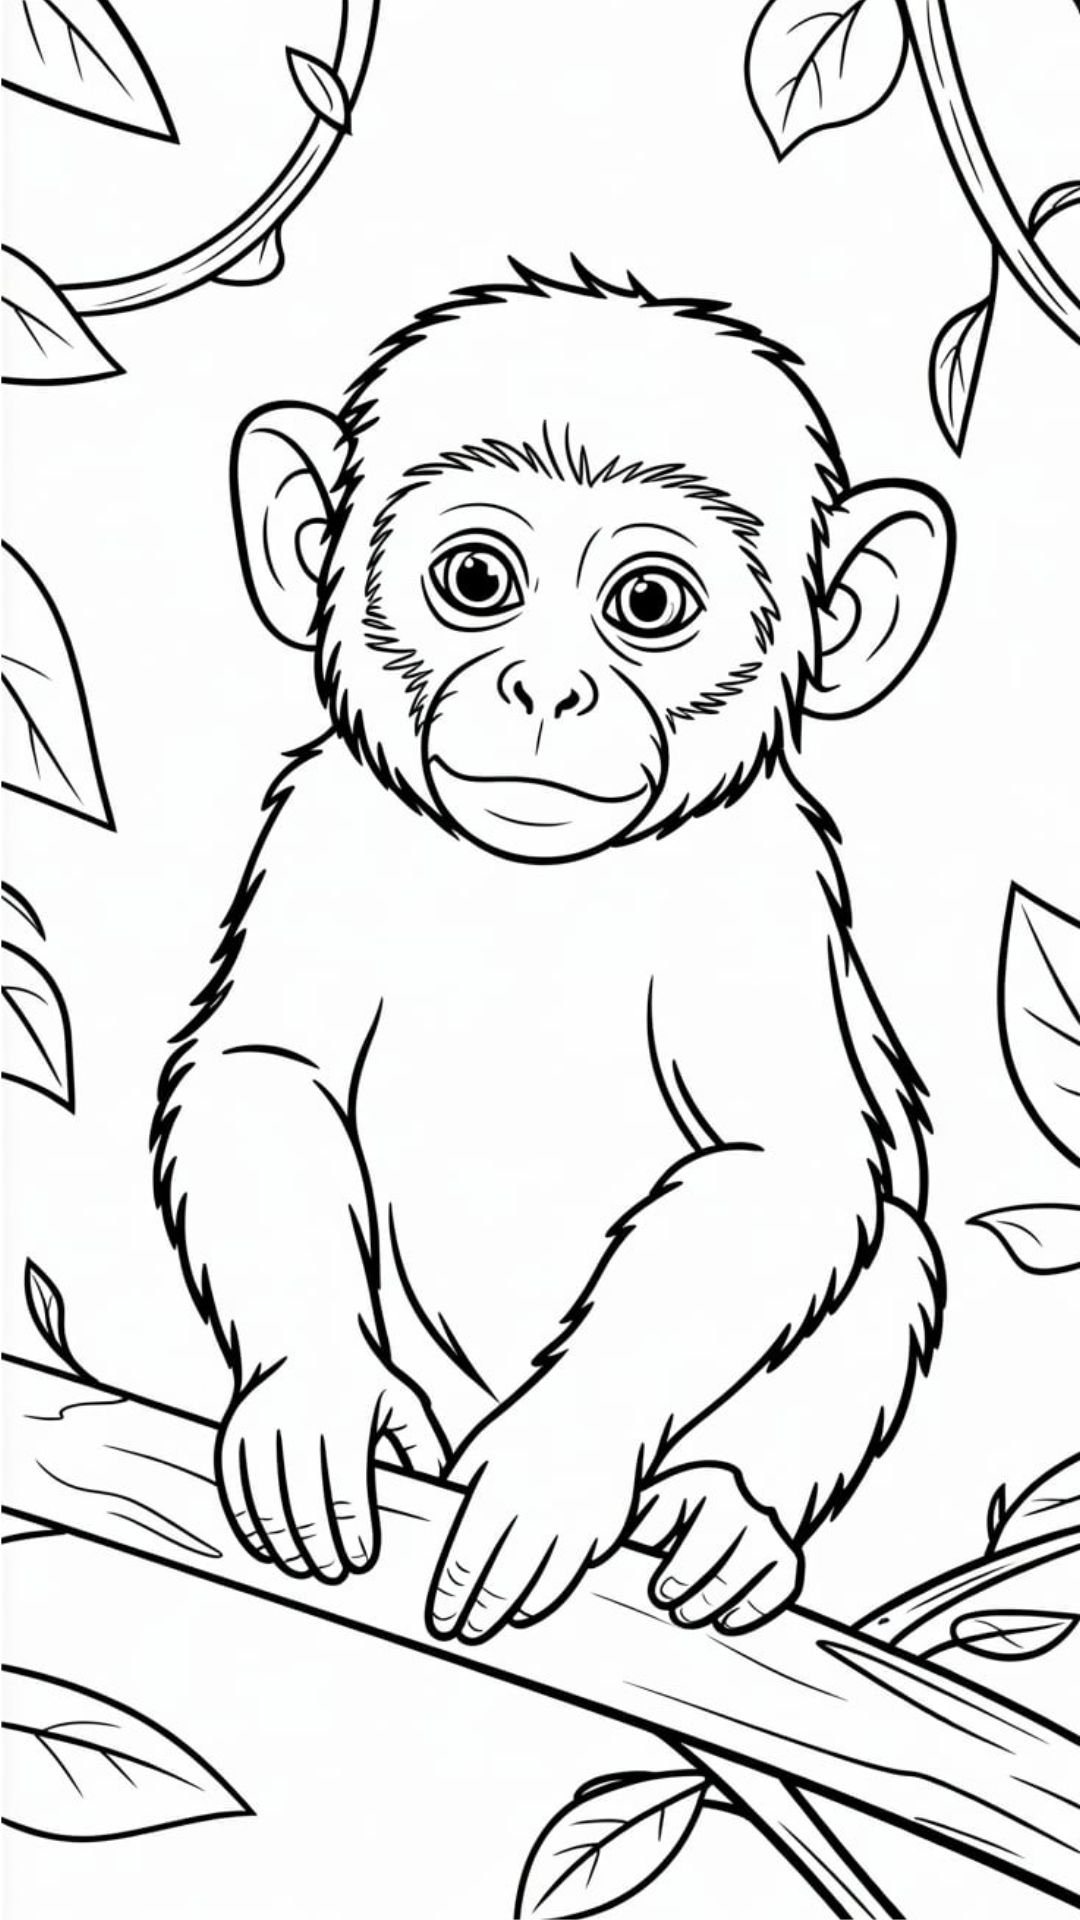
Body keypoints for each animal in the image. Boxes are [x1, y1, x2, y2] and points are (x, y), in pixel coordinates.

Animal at [152, 262, 951, 1648]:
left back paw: (728, 1510)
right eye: (477, 579)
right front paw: (320, 1385)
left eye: (649, 605)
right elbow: (264, 1073)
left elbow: (784, 1167)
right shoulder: (318, 825)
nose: (545, 689)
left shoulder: (770, 894)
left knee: (896, 1256)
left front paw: (562, 1452)